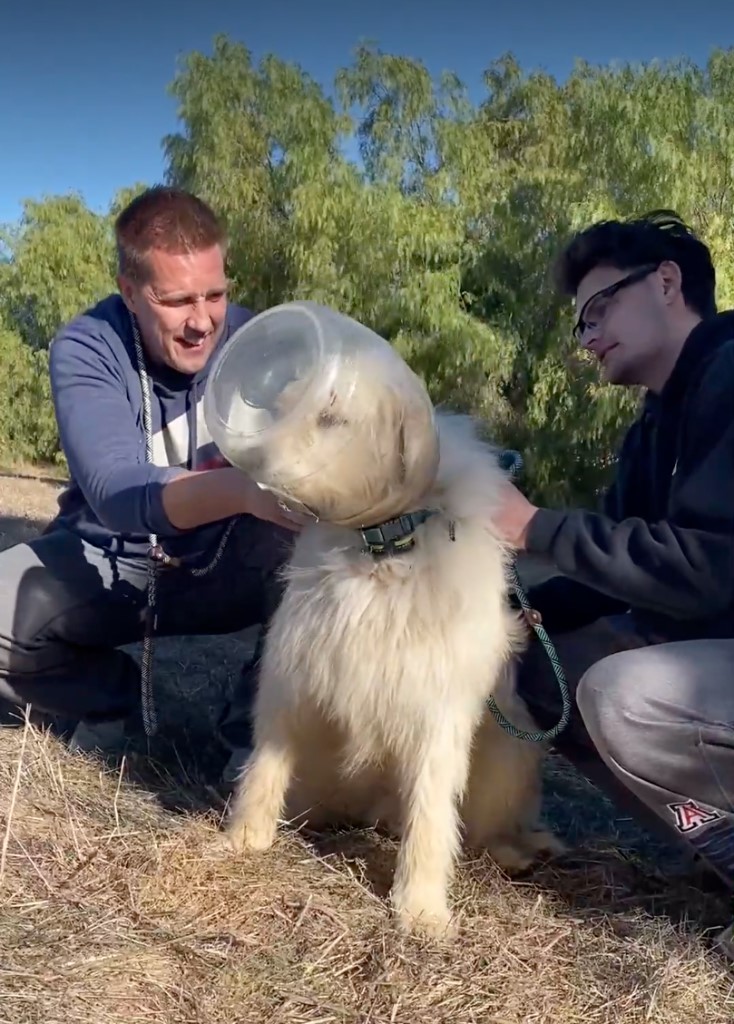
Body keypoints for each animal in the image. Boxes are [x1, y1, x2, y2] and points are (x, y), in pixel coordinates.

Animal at [223, 346, 560, 937]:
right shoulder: (293, 677)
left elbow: (430, 812)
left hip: (508, 749)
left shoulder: (436, 708)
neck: (383, 545)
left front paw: (420, 907)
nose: (252, 459)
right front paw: (245, 836)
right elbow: (264, 767)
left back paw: (516, 852)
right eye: (285, 404)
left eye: (332, 416)